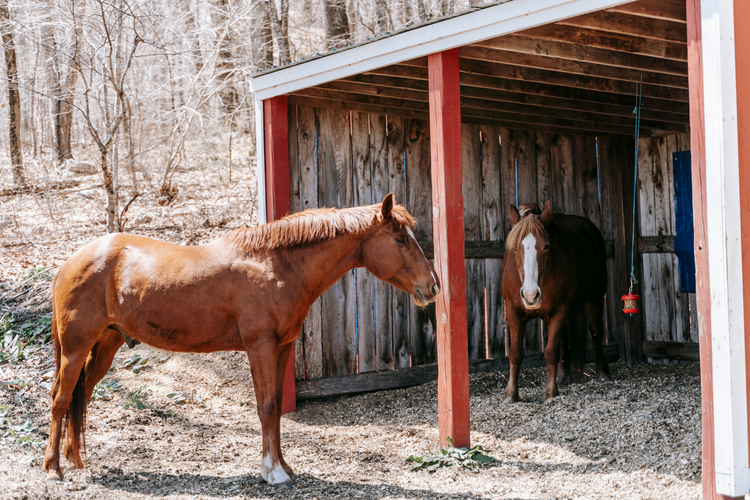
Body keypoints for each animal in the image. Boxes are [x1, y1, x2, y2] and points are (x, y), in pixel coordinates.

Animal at [44, 194, 440, 484]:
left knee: (82, 395)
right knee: (62, 399)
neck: (274, 265)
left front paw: (283, 466)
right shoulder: (259, 346)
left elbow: (276, 408)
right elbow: (265, 407)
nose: (432, 287)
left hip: (105, 345)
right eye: (400, 239)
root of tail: (69, 263)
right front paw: (273, 472)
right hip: (76, 347)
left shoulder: (281, 348)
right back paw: (53, 470)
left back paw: (75, 461)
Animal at [500, 201, 612, 404]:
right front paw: (511, 394)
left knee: (596, 332)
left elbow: (551, 352)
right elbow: (515, 353)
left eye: (546, 246)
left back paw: (603, 372)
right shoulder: (512, 311)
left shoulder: (560, 309)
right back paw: (563, 375)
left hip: (595, 297)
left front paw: (551, 393)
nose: (530, 295)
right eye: (515, 248)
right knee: (564, 339)